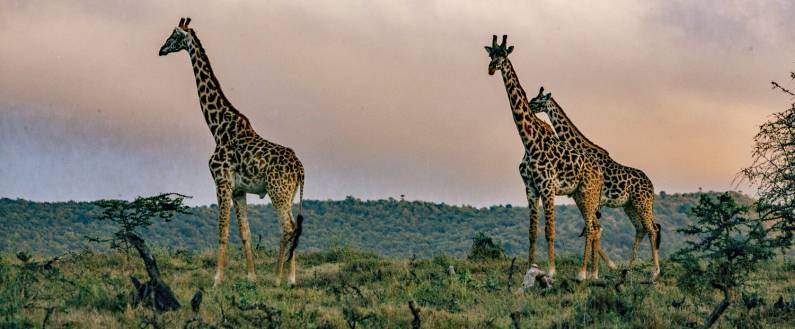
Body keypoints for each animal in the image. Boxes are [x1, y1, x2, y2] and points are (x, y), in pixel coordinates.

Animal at [159, 18, 304, 284]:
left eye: (173, 35)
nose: (161, 49)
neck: (217, 128)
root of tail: (300, 167)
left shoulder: (222, 181)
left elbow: (223, 230)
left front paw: (217, 278)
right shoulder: (238, 190)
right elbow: (245, 233)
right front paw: (251, 277)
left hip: (277, 192)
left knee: (288, 228)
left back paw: (279, 278)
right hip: (288, 194)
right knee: (292, 227)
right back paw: (290, 278)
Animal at [486, 34, 608, 278]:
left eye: (504, 55)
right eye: (490, 54)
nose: (492, 68)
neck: (529, 141)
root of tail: (600, 172)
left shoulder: (548, 187)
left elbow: (549, 231)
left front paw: (551, 271)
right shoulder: (531, 188)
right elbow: (532, 232)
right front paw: (529, 267)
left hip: (588, 194)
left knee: (592, 228)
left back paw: (583, 273)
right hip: (580, 194)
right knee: (594, 227)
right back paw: (592, 273)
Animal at [532, 89, 664, 276]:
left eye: (536, 101)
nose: (529, 106)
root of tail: (651, 186)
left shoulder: (594, 200)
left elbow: (593, 229)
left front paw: (601, 268)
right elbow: (594, 230)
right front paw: (607, 267)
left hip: (641, 203)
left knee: (652, 229)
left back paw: (654, 271)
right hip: (629, 206)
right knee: (641, 229)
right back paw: (628, 267)